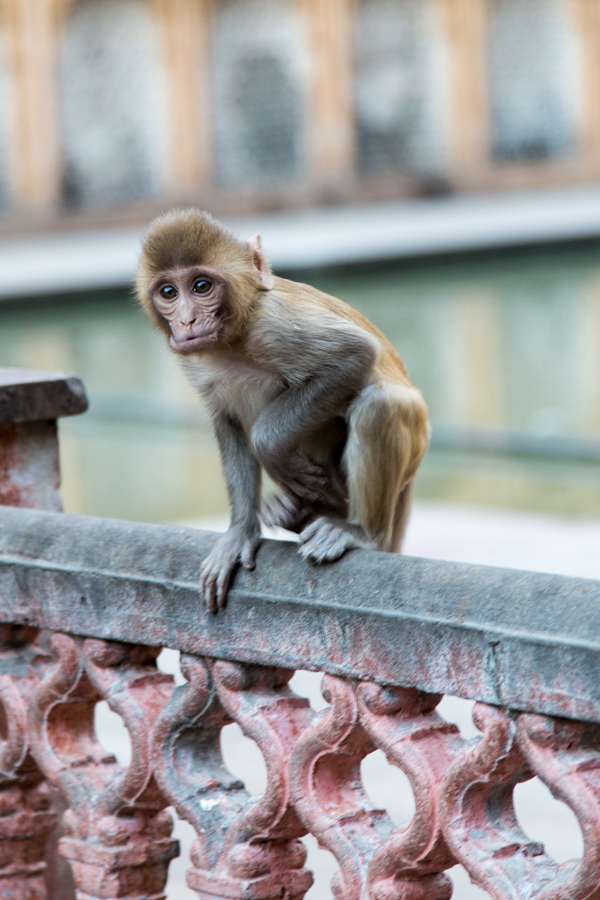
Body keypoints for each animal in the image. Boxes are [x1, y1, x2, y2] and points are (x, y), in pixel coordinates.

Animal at [137, 209, 430, 613]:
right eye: (169, 292)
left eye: (201, 286)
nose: (187, 321)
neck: (230, 340)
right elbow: (227, 422)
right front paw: (239, 533)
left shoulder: (272, 326)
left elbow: (353, 355)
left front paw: (271, 449)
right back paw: (298, 514)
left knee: (379, 404)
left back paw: (361, 533)